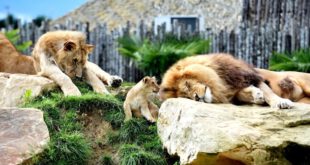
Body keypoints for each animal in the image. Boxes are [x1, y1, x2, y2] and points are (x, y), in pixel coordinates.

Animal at [160, 53, 294, 109]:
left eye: (187, 84)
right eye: (186, 97)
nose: (197, 98)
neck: (219, 80)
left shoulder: (248, 76)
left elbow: (269, 93)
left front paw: (281, 103)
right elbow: (241, 94)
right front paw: (255, 95)